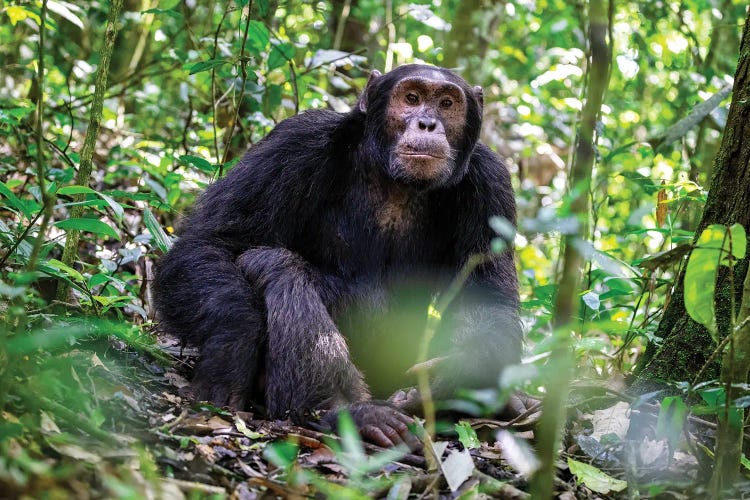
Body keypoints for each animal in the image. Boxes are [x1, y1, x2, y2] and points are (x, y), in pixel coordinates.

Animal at [154, 64, 524, 448]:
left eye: (447, 103)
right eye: (411, 98)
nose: (427, 123)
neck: (396, 183)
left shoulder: (490, 182)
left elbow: (486, 298)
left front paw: (451, 375)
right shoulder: (295, 143)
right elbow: (210, 242)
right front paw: (229, 354)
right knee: (275, 265)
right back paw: (345, 409)